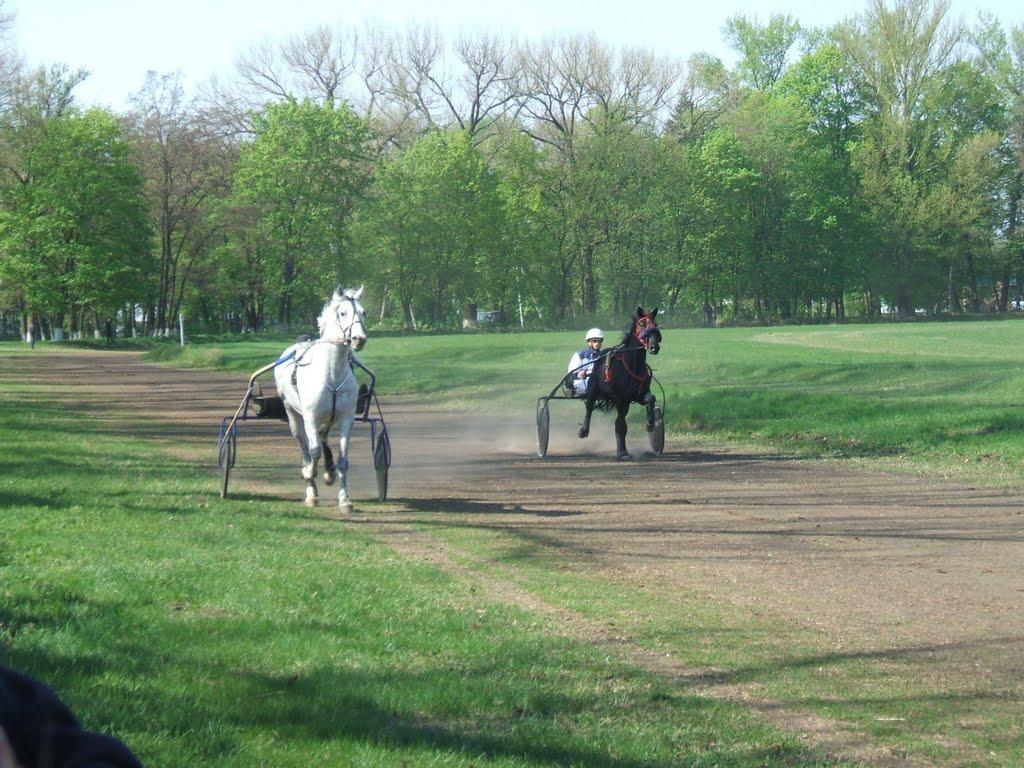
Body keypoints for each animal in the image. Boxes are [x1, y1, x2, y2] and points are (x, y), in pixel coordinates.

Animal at [274, 288, 366, 512]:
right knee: (304, 445)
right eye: (343, 313)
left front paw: (345, 500)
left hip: (328, 418)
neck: (331, 373)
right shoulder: (310, 416)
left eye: (364, 312)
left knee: (323, 437)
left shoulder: (346, 418)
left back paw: (329, 471)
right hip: (293, 414)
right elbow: (313, 452)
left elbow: (343, 460)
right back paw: (311, 485)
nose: (359, 339)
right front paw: (310, 481)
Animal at [581, 307, 659, 460]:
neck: (633, 365)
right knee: (589, 407)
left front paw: (650, 423)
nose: (654, 347)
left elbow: (651, 398)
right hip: (593, 389)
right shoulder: (620, 399)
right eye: (642, 324)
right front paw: (622, 452)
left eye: (655, 324)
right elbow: (620, 425)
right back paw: (584, 430)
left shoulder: (638, 395)